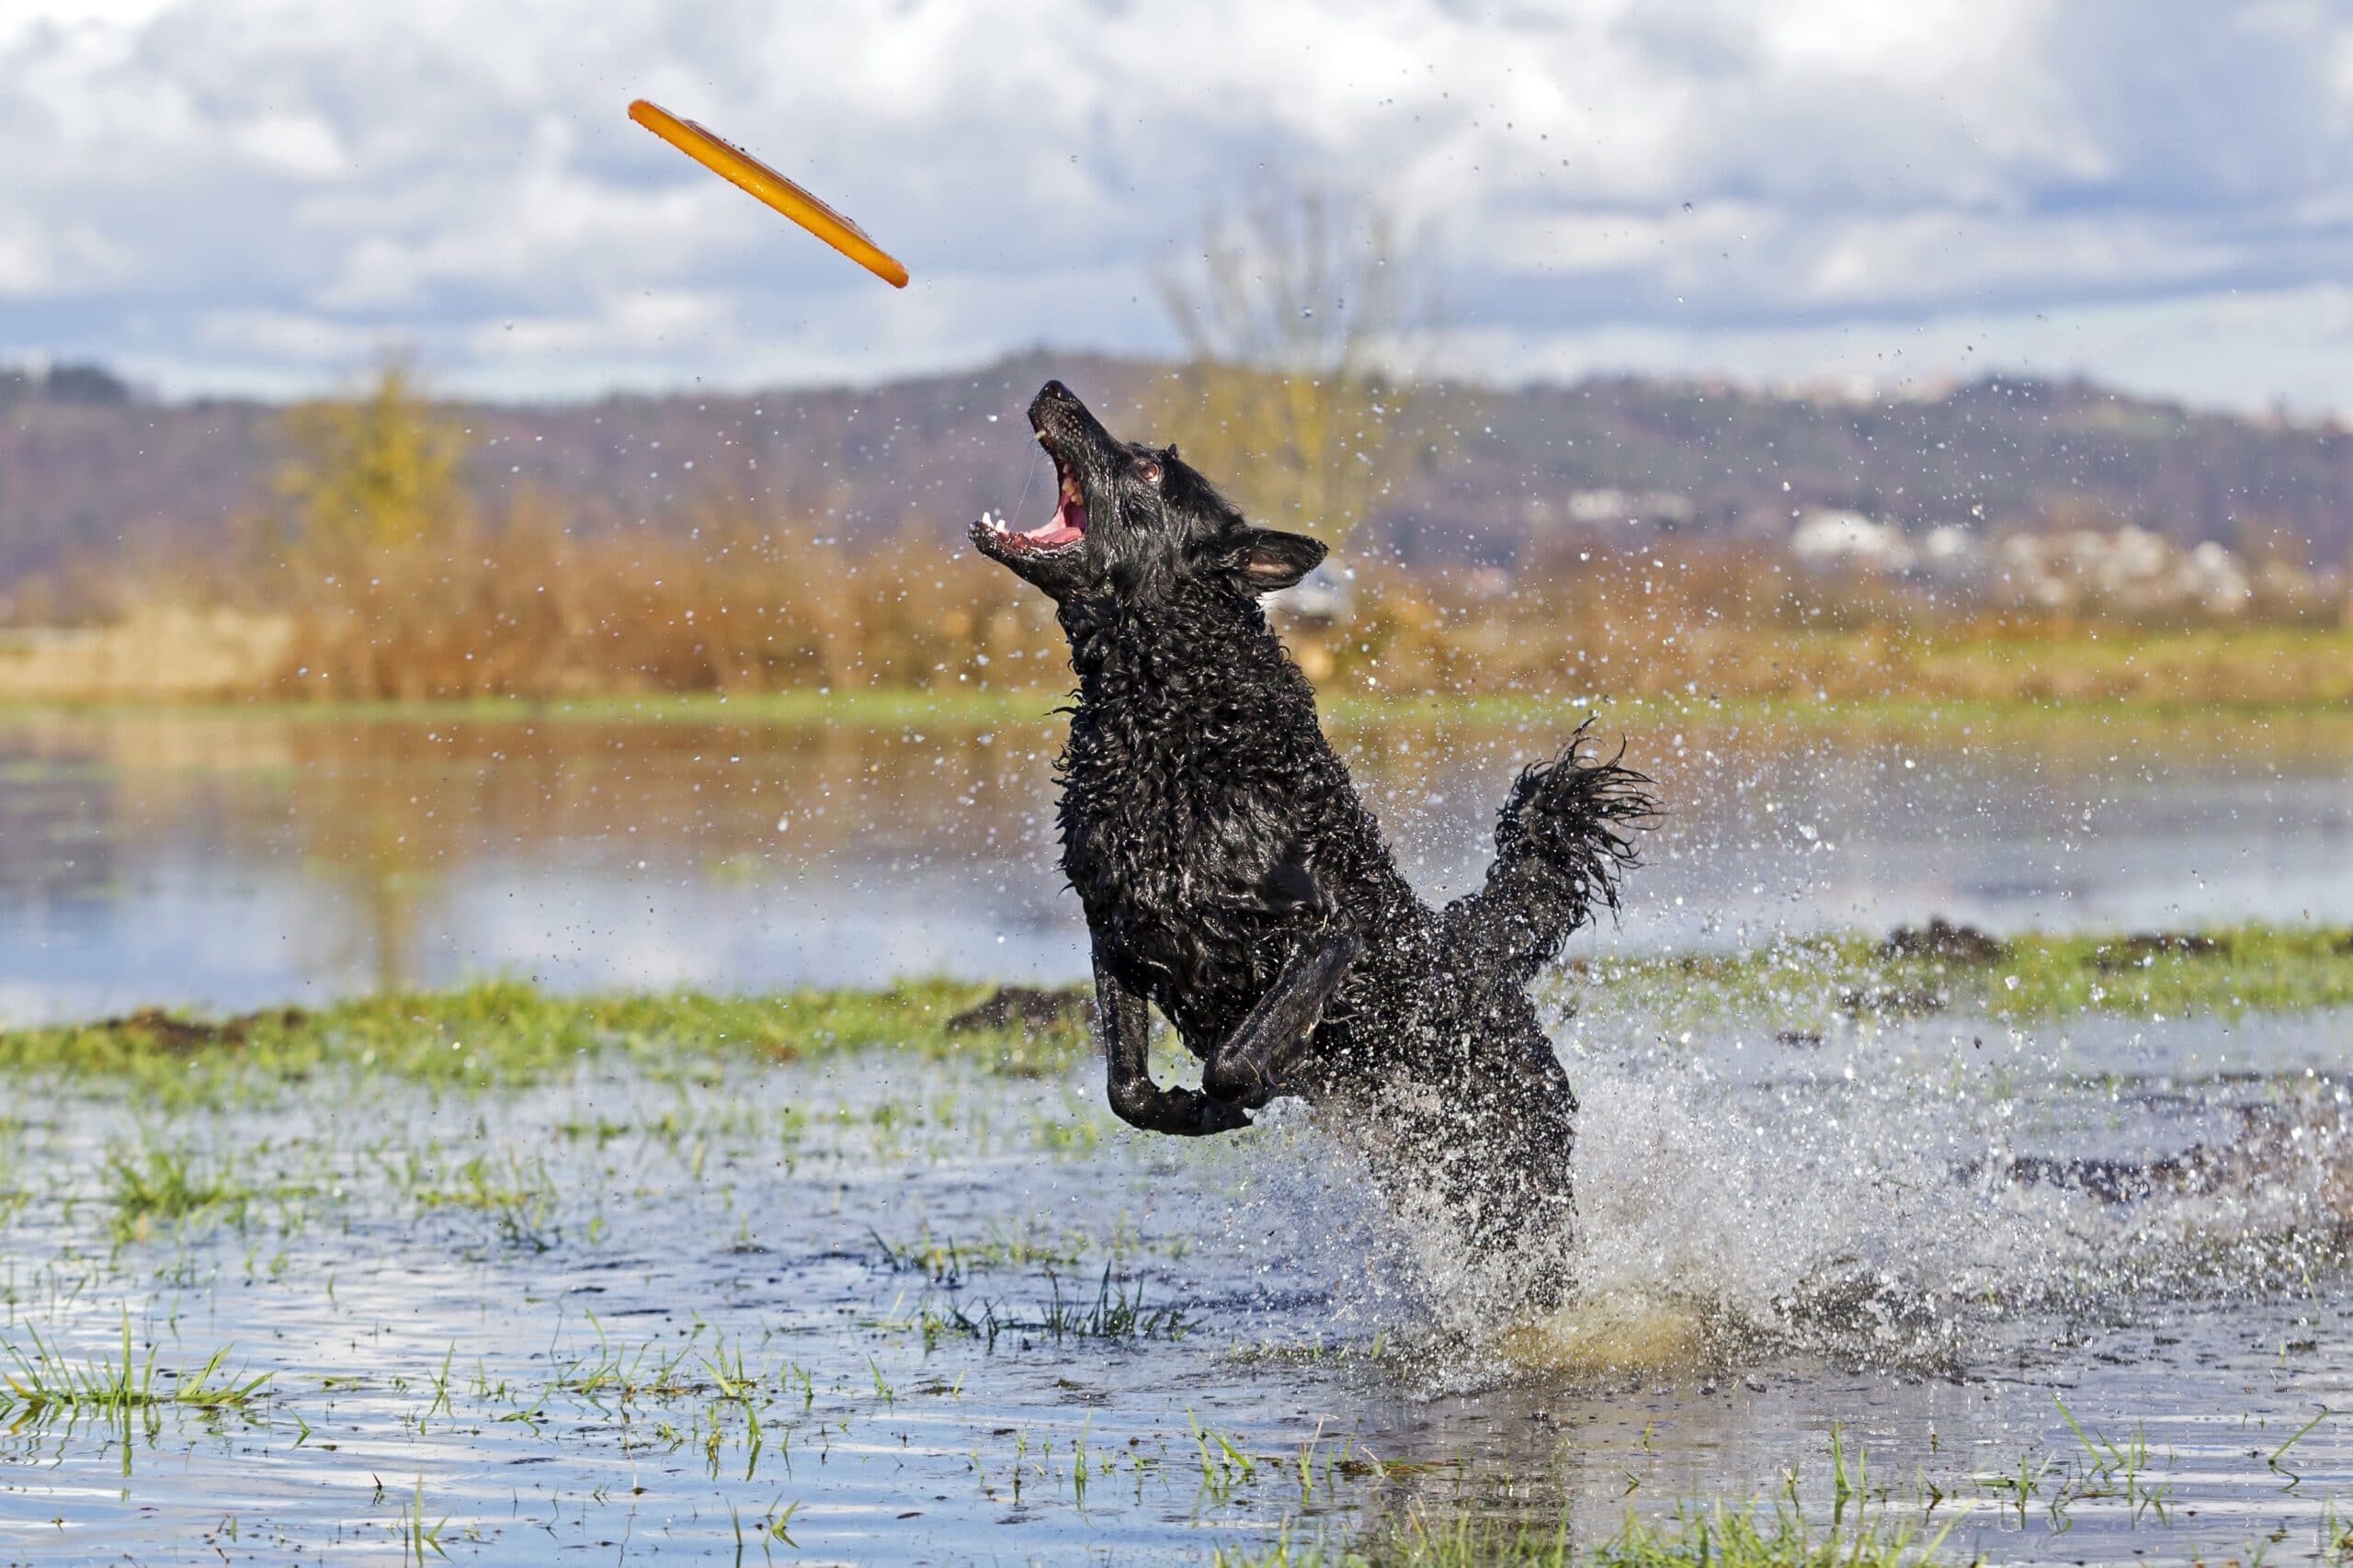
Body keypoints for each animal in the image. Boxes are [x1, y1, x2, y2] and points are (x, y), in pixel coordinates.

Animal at [964, 376, 1647, 1290]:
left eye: (1148, 469)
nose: (1052, 387)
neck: (1167, 715)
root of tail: (1475, 960)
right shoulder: (1117, 925)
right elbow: (1124, 1087)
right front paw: (1185, 1110)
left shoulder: (1330, 924)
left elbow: (1237, 1057)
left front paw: (1235, 1094)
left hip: (1512, 1177)